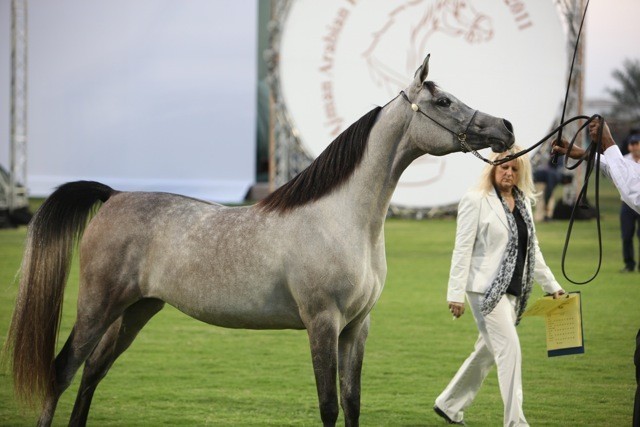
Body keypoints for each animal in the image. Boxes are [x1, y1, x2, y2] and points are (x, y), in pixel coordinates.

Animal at [5, 54, 514, 426]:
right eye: (443, 101)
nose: (505, 127)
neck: (341, 218)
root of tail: (112, 196)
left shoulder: (356, 327)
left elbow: (352, 404)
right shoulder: (322, 323)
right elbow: (329, 405)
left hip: (136, 310)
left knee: (92, 373)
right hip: (98, 305)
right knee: (62, 371)